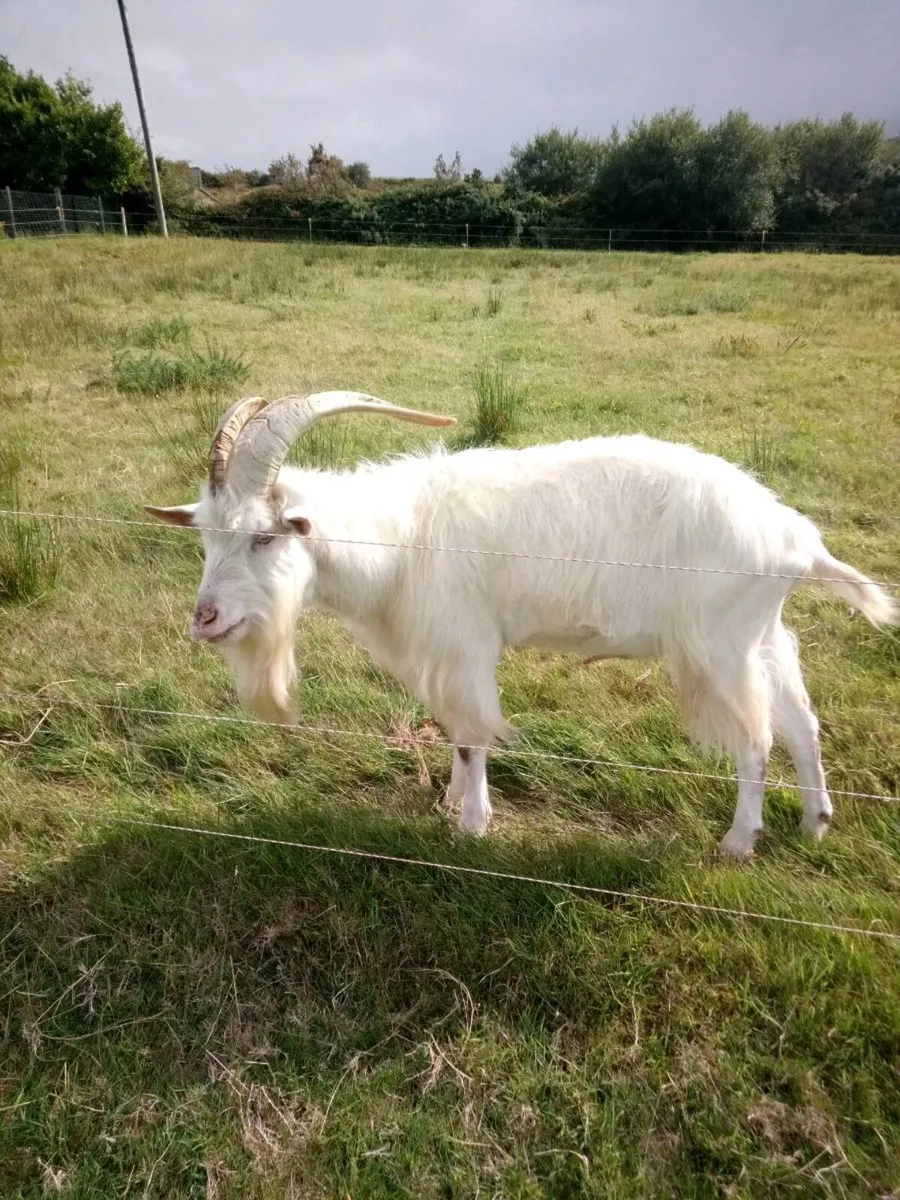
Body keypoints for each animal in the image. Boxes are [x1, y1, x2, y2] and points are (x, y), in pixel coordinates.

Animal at [145, 391, 897, 857]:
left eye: (263, 537)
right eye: (205, 537)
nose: (205, 619)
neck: (398, 537)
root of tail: (796, 540)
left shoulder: (467, 645)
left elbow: (473, 736)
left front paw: (472, 824)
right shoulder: (444, 654)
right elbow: (453, 730)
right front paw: (448, 802)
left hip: (720, 646)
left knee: (755, 738)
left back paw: (739, 843)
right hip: (762, 635)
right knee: (801, 722)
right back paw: (817, 823)